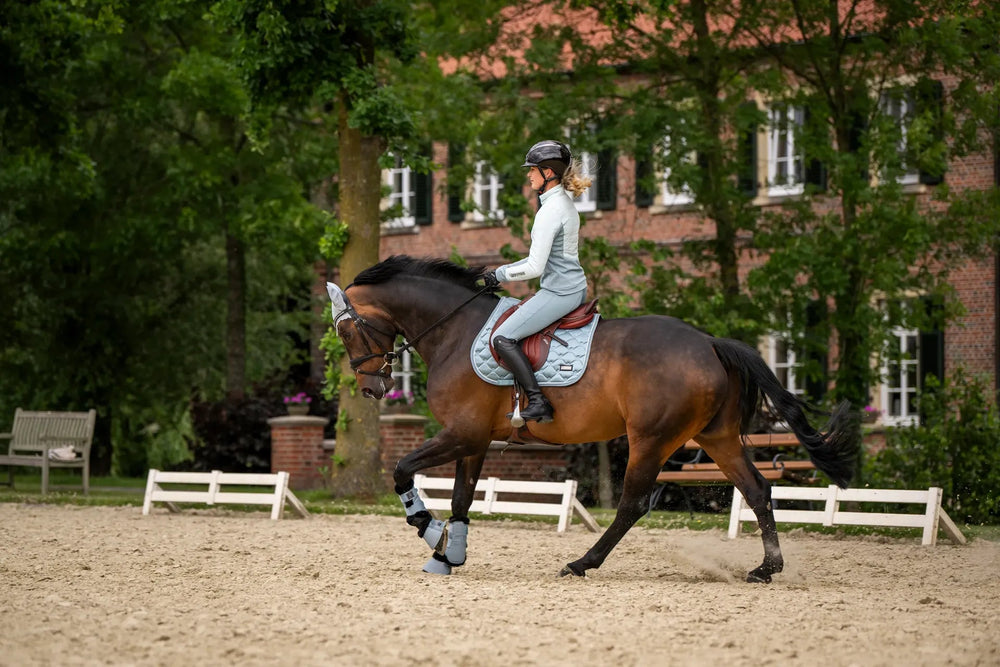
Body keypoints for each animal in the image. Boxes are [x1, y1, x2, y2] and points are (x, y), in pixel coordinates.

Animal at [328, 255, 857, 582]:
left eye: (345, 331)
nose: (371, 388)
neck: (455, 330)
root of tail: (709, 342)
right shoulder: (475, 439)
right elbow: (460, 498)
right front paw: (448, 553)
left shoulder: (461, 433)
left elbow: (402, 471)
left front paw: (430, 530)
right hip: (717, 438)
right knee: (757, 490)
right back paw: (767, 568)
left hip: (651, 439)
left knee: (632, 504)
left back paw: (582, 563)